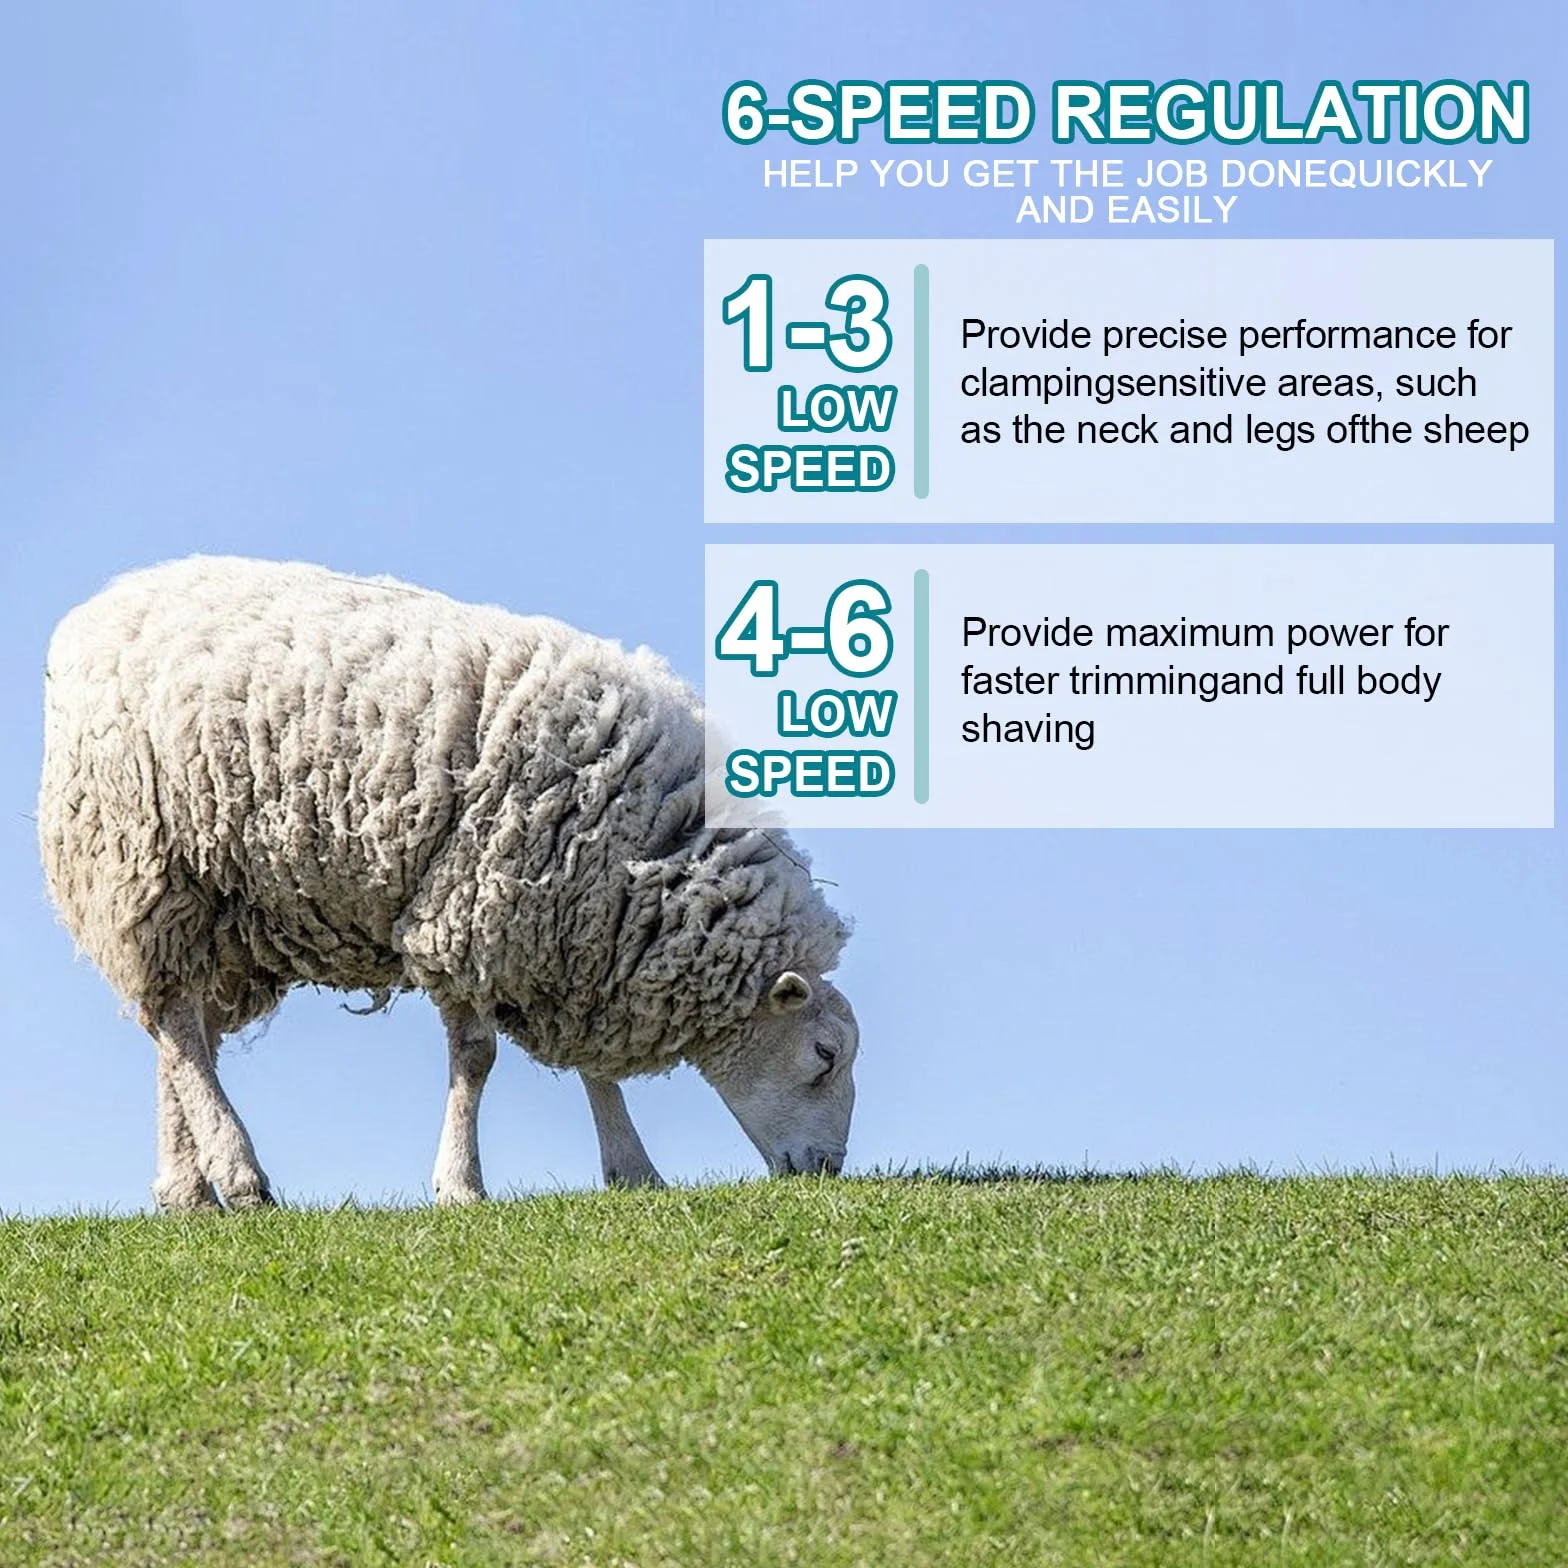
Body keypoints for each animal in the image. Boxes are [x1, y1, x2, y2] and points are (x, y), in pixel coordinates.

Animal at [38, 556, 859, 1209]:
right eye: (824, 1055)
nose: (826, 1170)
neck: (646, 852)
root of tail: (99, 608)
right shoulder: (475, 912)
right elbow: (477, 1058)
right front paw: (461, 1183)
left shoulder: (575, 941)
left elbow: (592, 1069)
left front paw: (632, 1170)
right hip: (145, 862)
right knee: (176, 1024)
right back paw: (239, 1176)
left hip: (224, 909)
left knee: (183, 1033)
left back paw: (187, 1188)